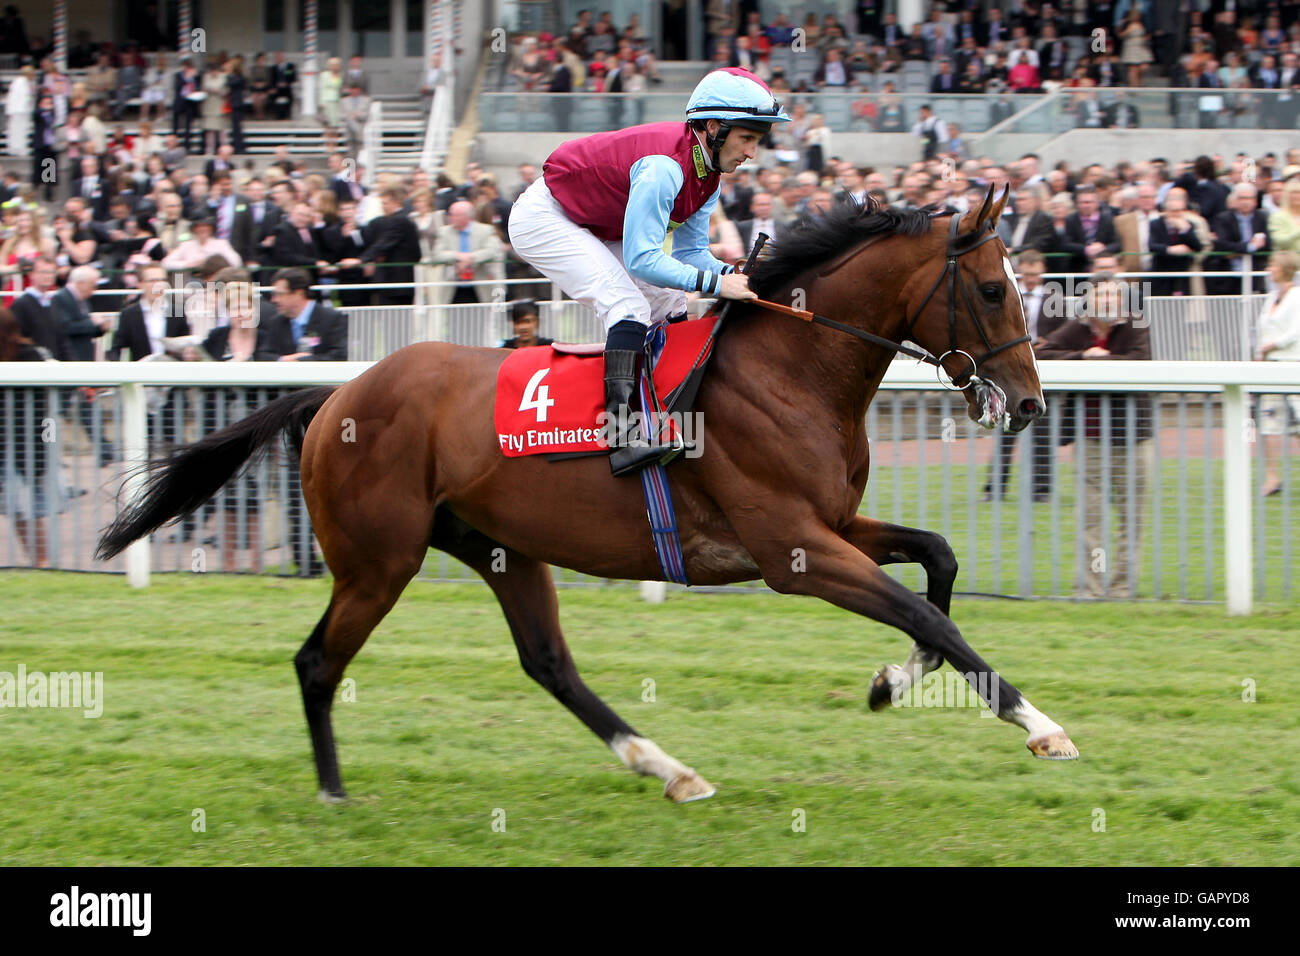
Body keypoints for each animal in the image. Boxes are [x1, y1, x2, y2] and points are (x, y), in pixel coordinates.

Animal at [98, 183, 1076, 806]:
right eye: (994, 288)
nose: (1030, 402)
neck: (790, 369)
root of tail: (335, 396)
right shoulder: (793, 550)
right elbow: (929, 616)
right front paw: (1042, 725)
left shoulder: (833, 524)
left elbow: (939, 569)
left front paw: (887, 683)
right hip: (381, 560)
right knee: (317, 662)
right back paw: (335, 794)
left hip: (497, 546)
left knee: (548, 663)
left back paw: (668, 768)